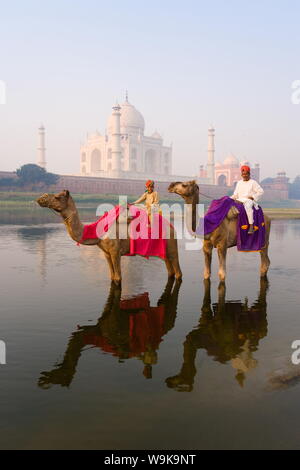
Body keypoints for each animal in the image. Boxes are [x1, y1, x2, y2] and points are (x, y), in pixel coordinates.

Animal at [37, 189, 183, 284]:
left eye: (57, 197)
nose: (41, 198)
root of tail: (172, 228)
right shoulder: (106, 252)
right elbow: (112, 277)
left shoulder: (115, 251)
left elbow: (118, 278)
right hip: (163, 249)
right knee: (169, 270)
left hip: (171, 244)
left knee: (178, 271)